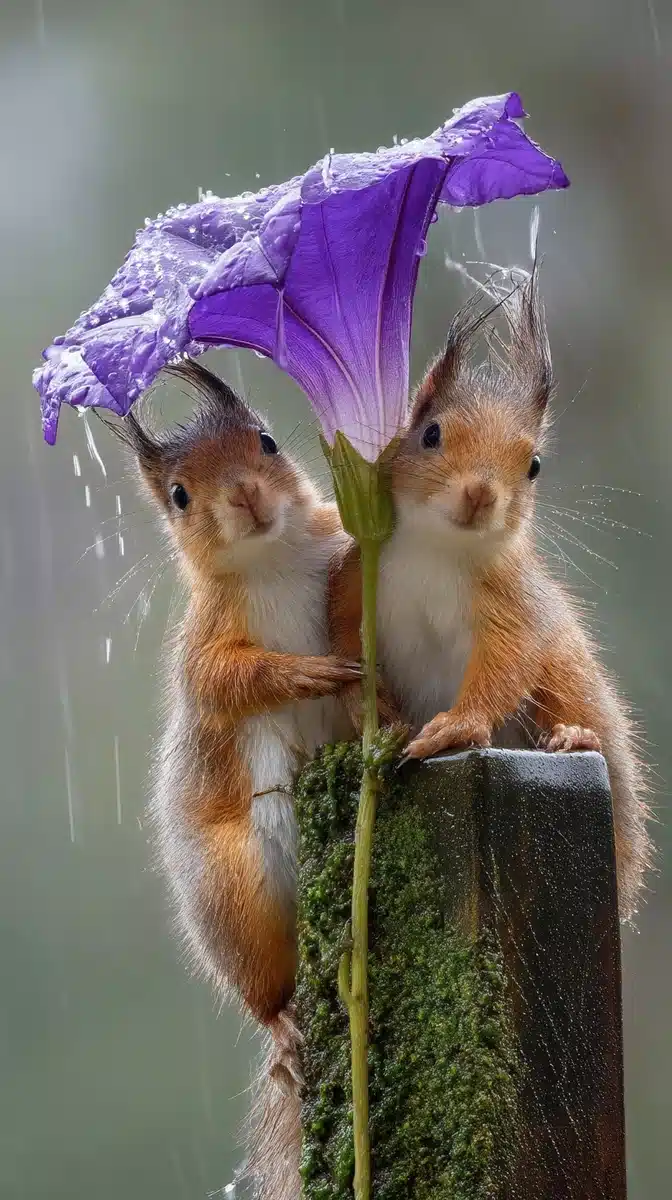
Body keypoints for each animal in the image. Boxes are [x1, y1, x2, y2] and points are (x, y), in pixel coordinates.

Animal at [110, 359, 360, 1081]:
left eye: (267, 442)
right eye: (179, 496)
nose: (245, 495)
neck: (271, 559)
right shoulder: (205, 641)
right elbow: (225, 681)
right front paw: (304, 675)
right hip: (235, 895)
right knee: (262, 991)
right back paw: (282, 1028)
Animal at [330, 271, 652, 921]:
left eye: (533, 465)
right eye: (430, 434)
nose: (480, 494)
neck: (438, 549)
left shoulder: (512, 600)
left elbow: (506, 660)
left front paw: (457, 726)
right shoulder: (359, 573)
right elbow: (342, 637)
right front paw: (367, 709)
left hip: (568, 673)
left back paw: (574, 735)